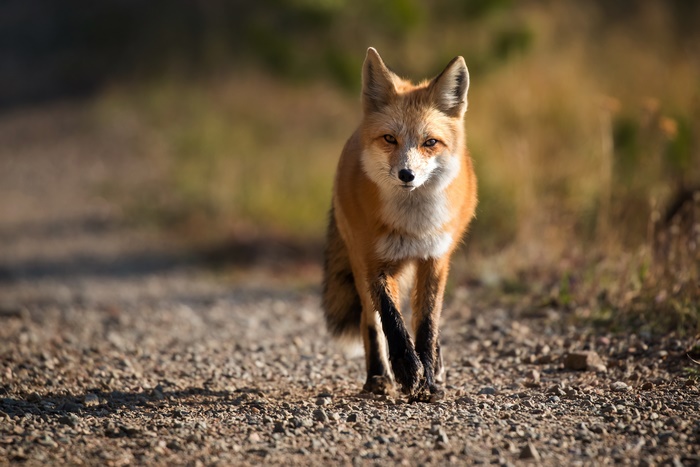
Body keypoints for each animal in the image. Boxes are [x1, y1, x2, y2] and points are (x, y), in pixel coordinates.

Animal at [322, 47, 477, 402]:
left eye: (430, 142)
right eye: (389, 139)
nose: (407, 175)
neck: (413, 225)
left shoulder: (435, 259)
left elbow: (427, 323)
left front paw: (429, 378)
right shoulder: (374, 261)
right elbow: (391, 320)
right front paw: (407, 369)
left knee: (427, 320)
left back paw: (436, 370)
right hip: (358, 263)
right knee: (370, 321)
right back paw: (378, 376)